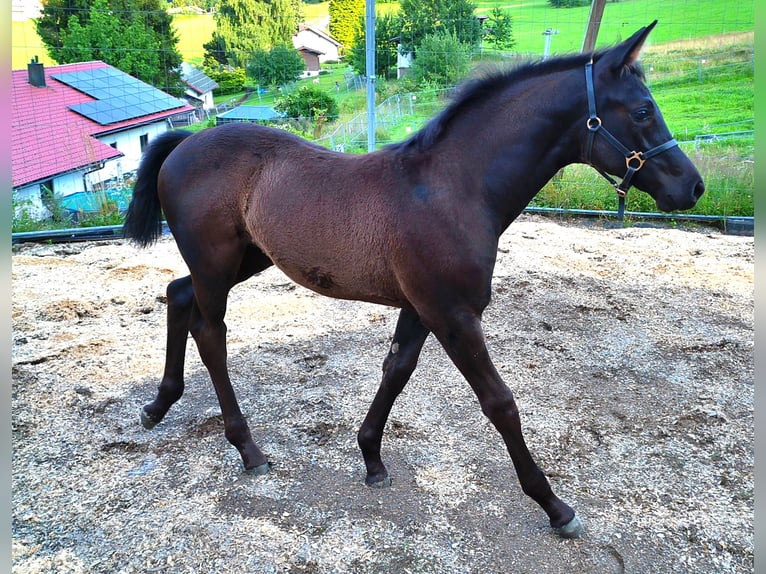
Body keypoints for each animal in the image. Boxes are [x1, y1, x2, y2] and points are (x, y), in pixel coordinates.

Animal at [122, 21, 704, 539]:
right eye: (643, 110)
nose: (693, 187)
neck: (451, 188)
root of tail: (185, 144)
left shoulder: (421, 308)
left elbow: (396, 370)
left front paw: (372, 458)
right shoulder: (453, 315)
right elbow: (500, 403)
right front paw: (555, 506)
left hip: (243, 260)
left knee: (178, 296)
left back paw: (159, 405)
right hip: (217, 266)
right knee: (210, 335)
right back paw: (247, 449)